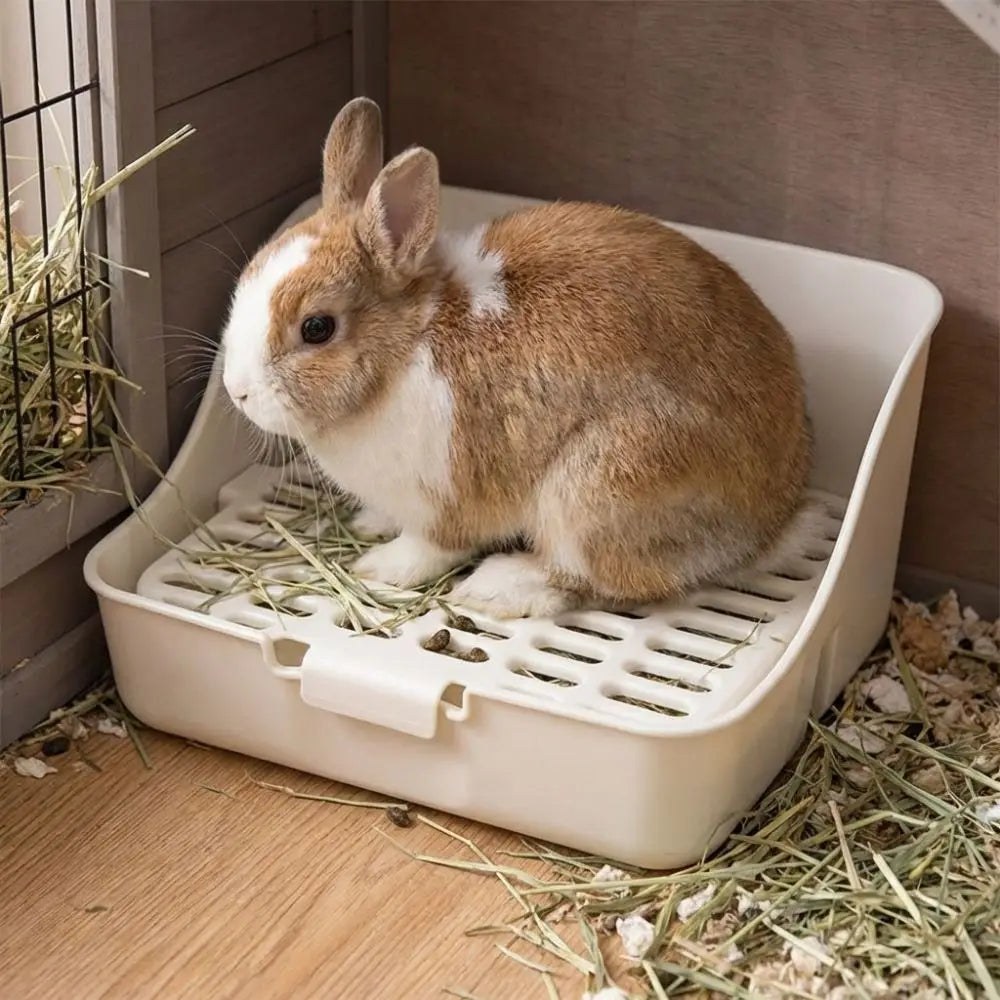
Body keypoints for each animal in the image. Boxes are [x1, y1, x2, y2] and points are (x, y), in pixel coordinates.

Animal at [220, 97, 813, 619]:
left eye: (317, 328)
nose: (236, 391)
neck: (405, 350)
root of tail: (774, 519)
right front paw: (370, 523)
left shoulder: (449, 504)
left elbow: (431, 548)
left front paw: (381, 567)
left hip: (596, 491)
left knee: (603, 580)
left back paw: (501, 588)